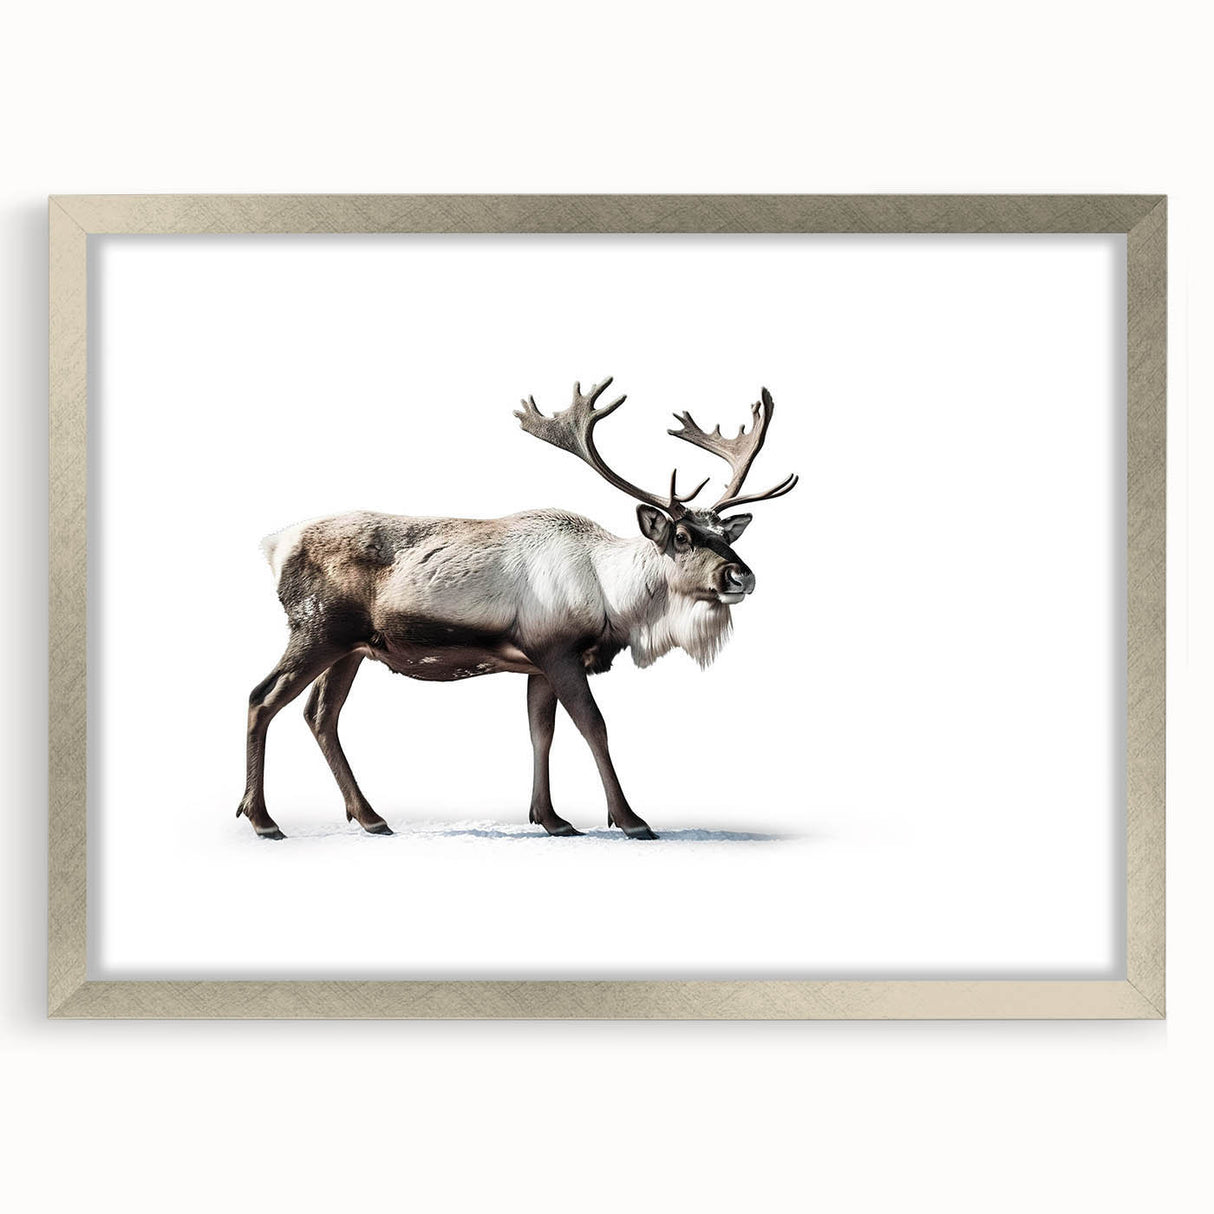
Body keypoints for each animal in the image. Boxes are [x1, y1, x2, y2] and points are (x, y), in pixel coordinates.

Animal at [237, 378, 797, 841]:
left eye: (727, 535)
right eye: (681, 536)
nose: (741, 576)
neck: (612, 598)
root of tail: (274, 545)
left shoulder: (537, 664)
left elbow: (539, 732)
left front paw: (552, 819)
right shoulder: (559, 651)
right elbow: (594, 726)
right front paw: (631, 820)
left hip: (352, 648)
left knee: (321, 714)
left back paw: (371, 817)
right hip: (317, 630)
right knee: (263, 698)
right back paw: (264, 821)